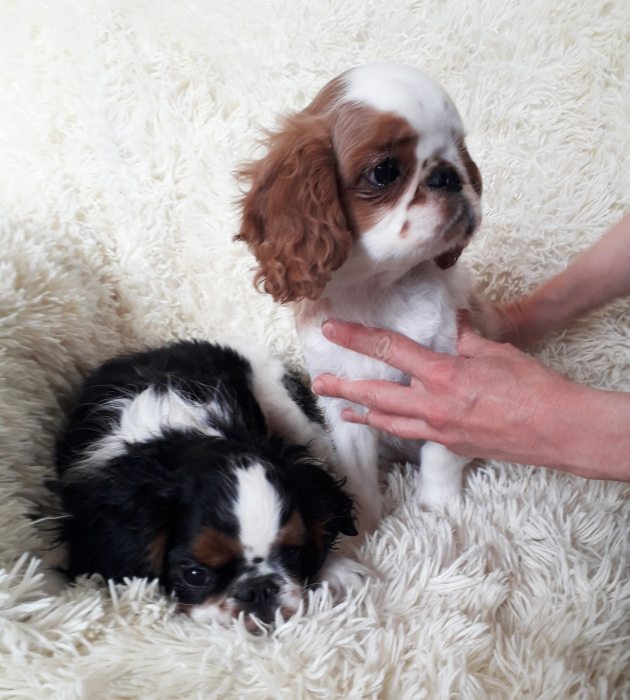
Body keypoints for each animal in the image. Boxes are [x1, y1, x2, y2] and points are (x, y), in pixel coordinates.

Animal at [236, 64, 483, 536]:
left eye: (461, 154)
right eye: (384, 171)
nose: (448, 174)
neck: (378, 290)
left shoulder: (443, 383)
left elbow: (440, 455)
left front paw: (438, 510)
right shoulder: (346, 401)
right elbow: (356, 472)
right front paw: (366, 526)